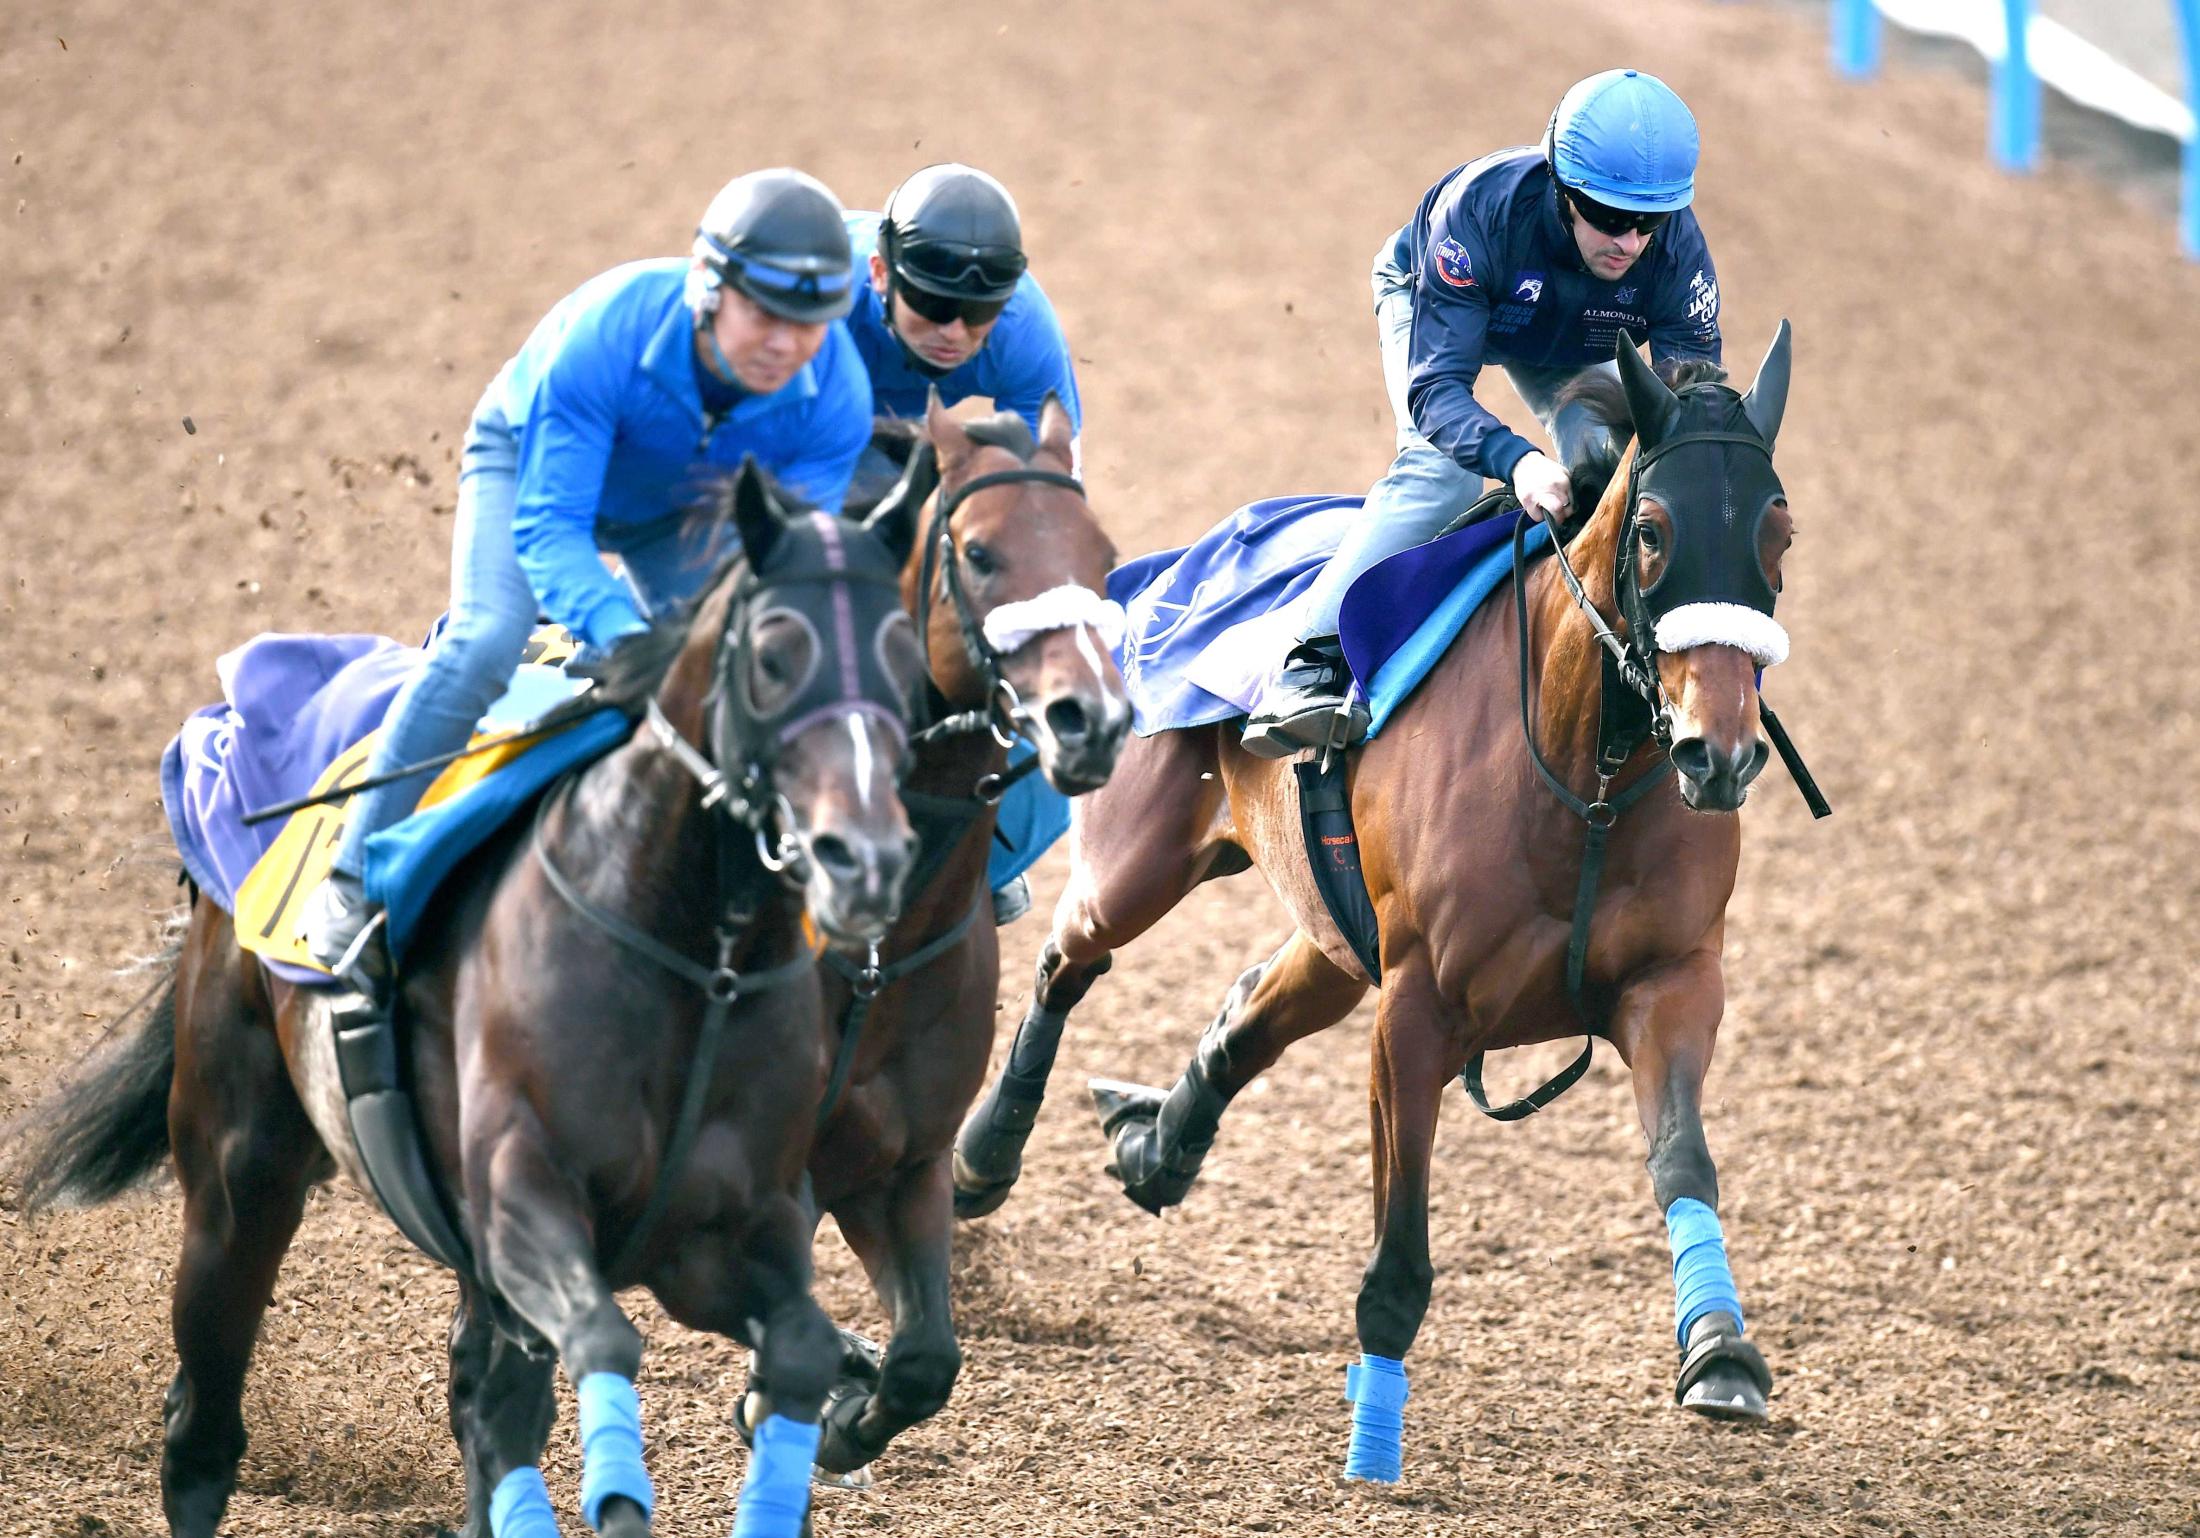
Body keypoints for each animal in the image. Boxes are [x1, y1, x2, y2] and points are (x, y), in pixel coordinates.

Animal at [8, 466, 924, 1538]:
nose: (865, 859)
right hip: (240, 1171)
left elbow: (799, 1349)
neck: (699, 961)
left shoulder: (728, 1234)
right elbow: (602, 1342)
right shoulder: (526, 1201)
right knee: (204, 1425)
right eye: (775, 656)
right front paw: (621, 1495)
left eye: (908, 658)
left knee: (486, 1400)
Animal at [748, 393, 1135, 1478]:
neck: (871, 958)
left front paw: (847, 1413)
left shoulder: (900, 1162)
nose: (1089, 719)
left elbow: (926, 1358)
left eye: (1104, 557)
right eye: (981, 552)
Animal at [963, 327, 1804, 1478]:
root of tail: (1164, 570)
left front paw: (1720, 1350)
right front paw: (1374, 1440)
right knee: (1067, 954)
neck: (1585, 777)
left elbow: (1684, 1156)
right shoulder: (1418, 1008)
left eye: (1780, 532)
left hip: (1332, 932)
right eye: (1651, 532)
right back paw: (986, 1153)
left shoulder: (1670, 983)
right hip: (1141, 861)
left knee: (1246, 1010)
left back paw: (1156, 1143)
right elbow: (1400, 1243)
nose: (1719, 754)